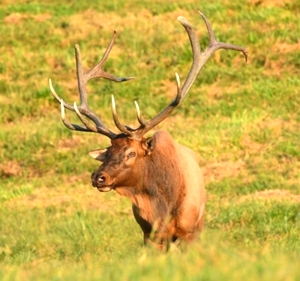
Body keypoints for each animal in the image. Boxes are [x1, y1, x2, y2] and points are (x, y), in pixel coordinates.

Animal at [48, 11, 246, 247]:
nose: (98, 177)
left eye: (132, 153)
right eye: (108, 152)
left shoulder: (189, 233)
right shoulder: (150, 236)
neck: (167, 204)